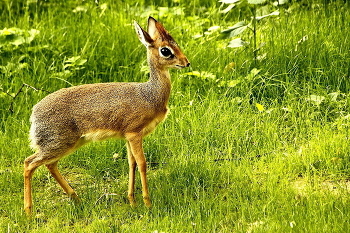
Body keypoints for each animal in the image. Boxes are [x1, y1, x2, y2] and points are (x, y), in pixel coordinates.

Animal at [24, 16, 190, 215]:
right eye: (166, 50)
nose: (186, 62)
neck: (150, 95)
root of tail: (34, 114)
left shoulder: (127, 137)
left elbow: (131, 164)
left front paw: (132, 201)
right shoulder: (134, 133)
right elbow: (142, 164)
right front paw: (148, 203)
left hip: (68, 143)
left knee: (49, 164)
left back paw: (76, 199)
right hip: (58, 144)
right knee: (28, 163)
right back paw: (29, 212)